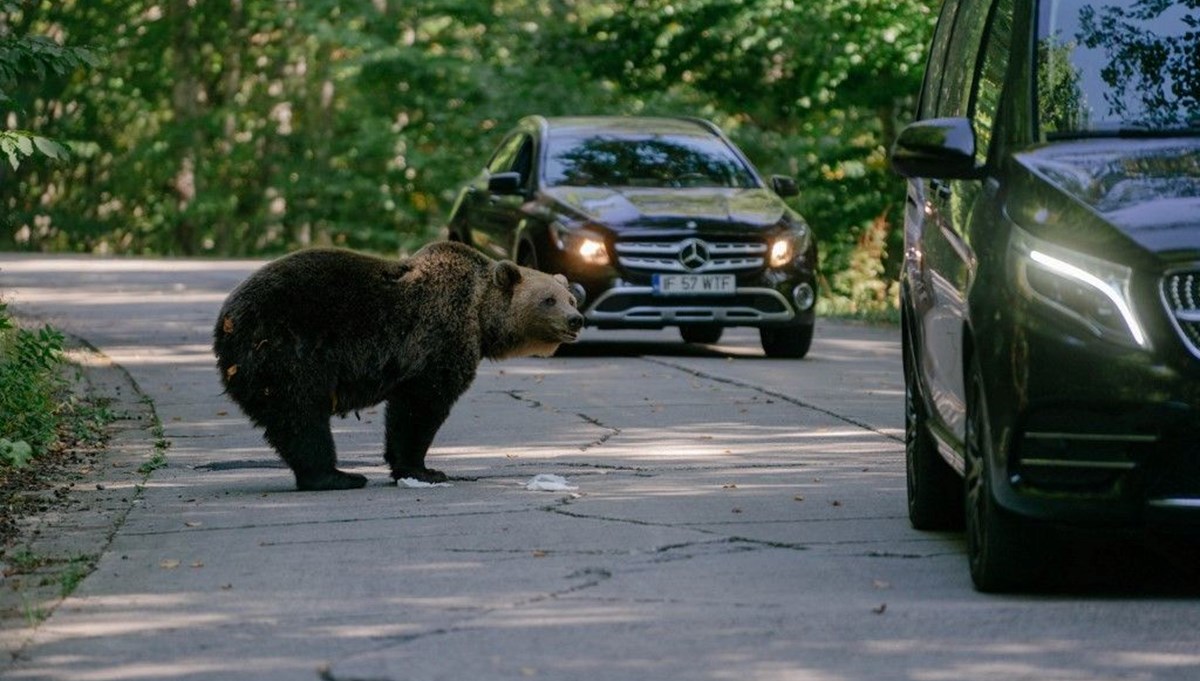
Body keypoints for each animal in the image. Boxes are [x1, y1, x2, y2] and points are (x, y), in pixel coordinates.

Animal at [212, 239, 585, 489]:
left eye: (571, 297)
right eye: (548, 300)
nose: (576, 319)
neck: (480, 317)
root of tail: (226, 318)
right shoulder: (437, 340)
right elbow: (421, 406)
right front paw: (424, 469)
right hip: (286, 348)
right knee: (302, 415)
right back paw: (338, 475)